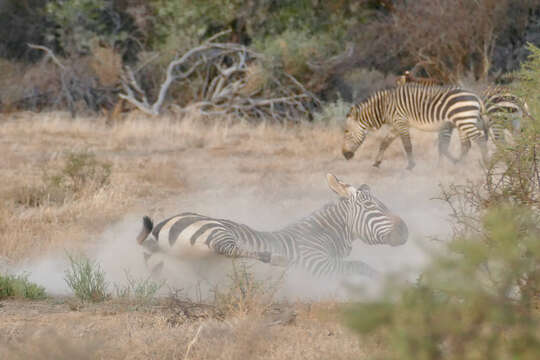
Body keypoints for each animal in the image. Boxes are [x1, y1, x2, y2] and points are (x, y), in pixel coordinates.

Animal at [136, 174, 410, 278]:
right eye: (372, 206)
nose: (405, 231)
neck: (321, 235)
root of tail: (159, 228)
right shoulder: (317, 264)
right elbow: (360, 266)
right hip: (215, 228)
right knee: (229, 249)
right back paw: (275, 258)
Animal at [342, 83, 490, 169]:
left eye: (346, 132)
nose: (344, 155)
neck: (384, 106)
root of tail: (476, 96)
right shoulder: (395, 125)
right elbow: (384, 143)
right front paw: (377, 162)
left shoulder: (401, 122)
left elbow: (407, 145)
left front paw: (411, 165)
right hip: (462, 123)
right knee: (466, 145)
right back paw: (459, 164)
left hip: (465, 121)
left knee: (480, 140)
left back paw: (485, 164)